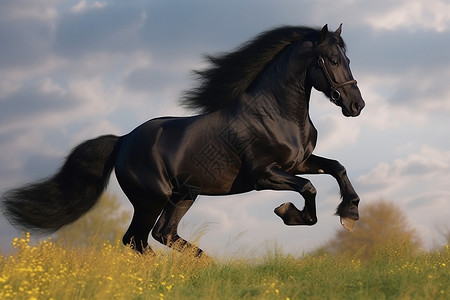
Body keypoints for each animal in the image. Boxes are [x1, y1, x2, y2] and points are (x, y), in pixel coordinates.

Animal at [1, 24, 364, 256]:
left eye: (348, 59)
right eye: (333, 60)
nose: (356, 105)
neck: (276, 113)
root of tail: (123, 140)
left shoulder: (298, 162)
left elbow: (337, 167)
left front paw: (349, 213)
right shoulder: (264, 176)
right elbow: (309, 188)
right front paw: (288, 212)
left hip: (183, 194)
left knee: (162, 234)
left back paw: (203, 264)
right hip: (151, 199)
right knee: (138, 240)